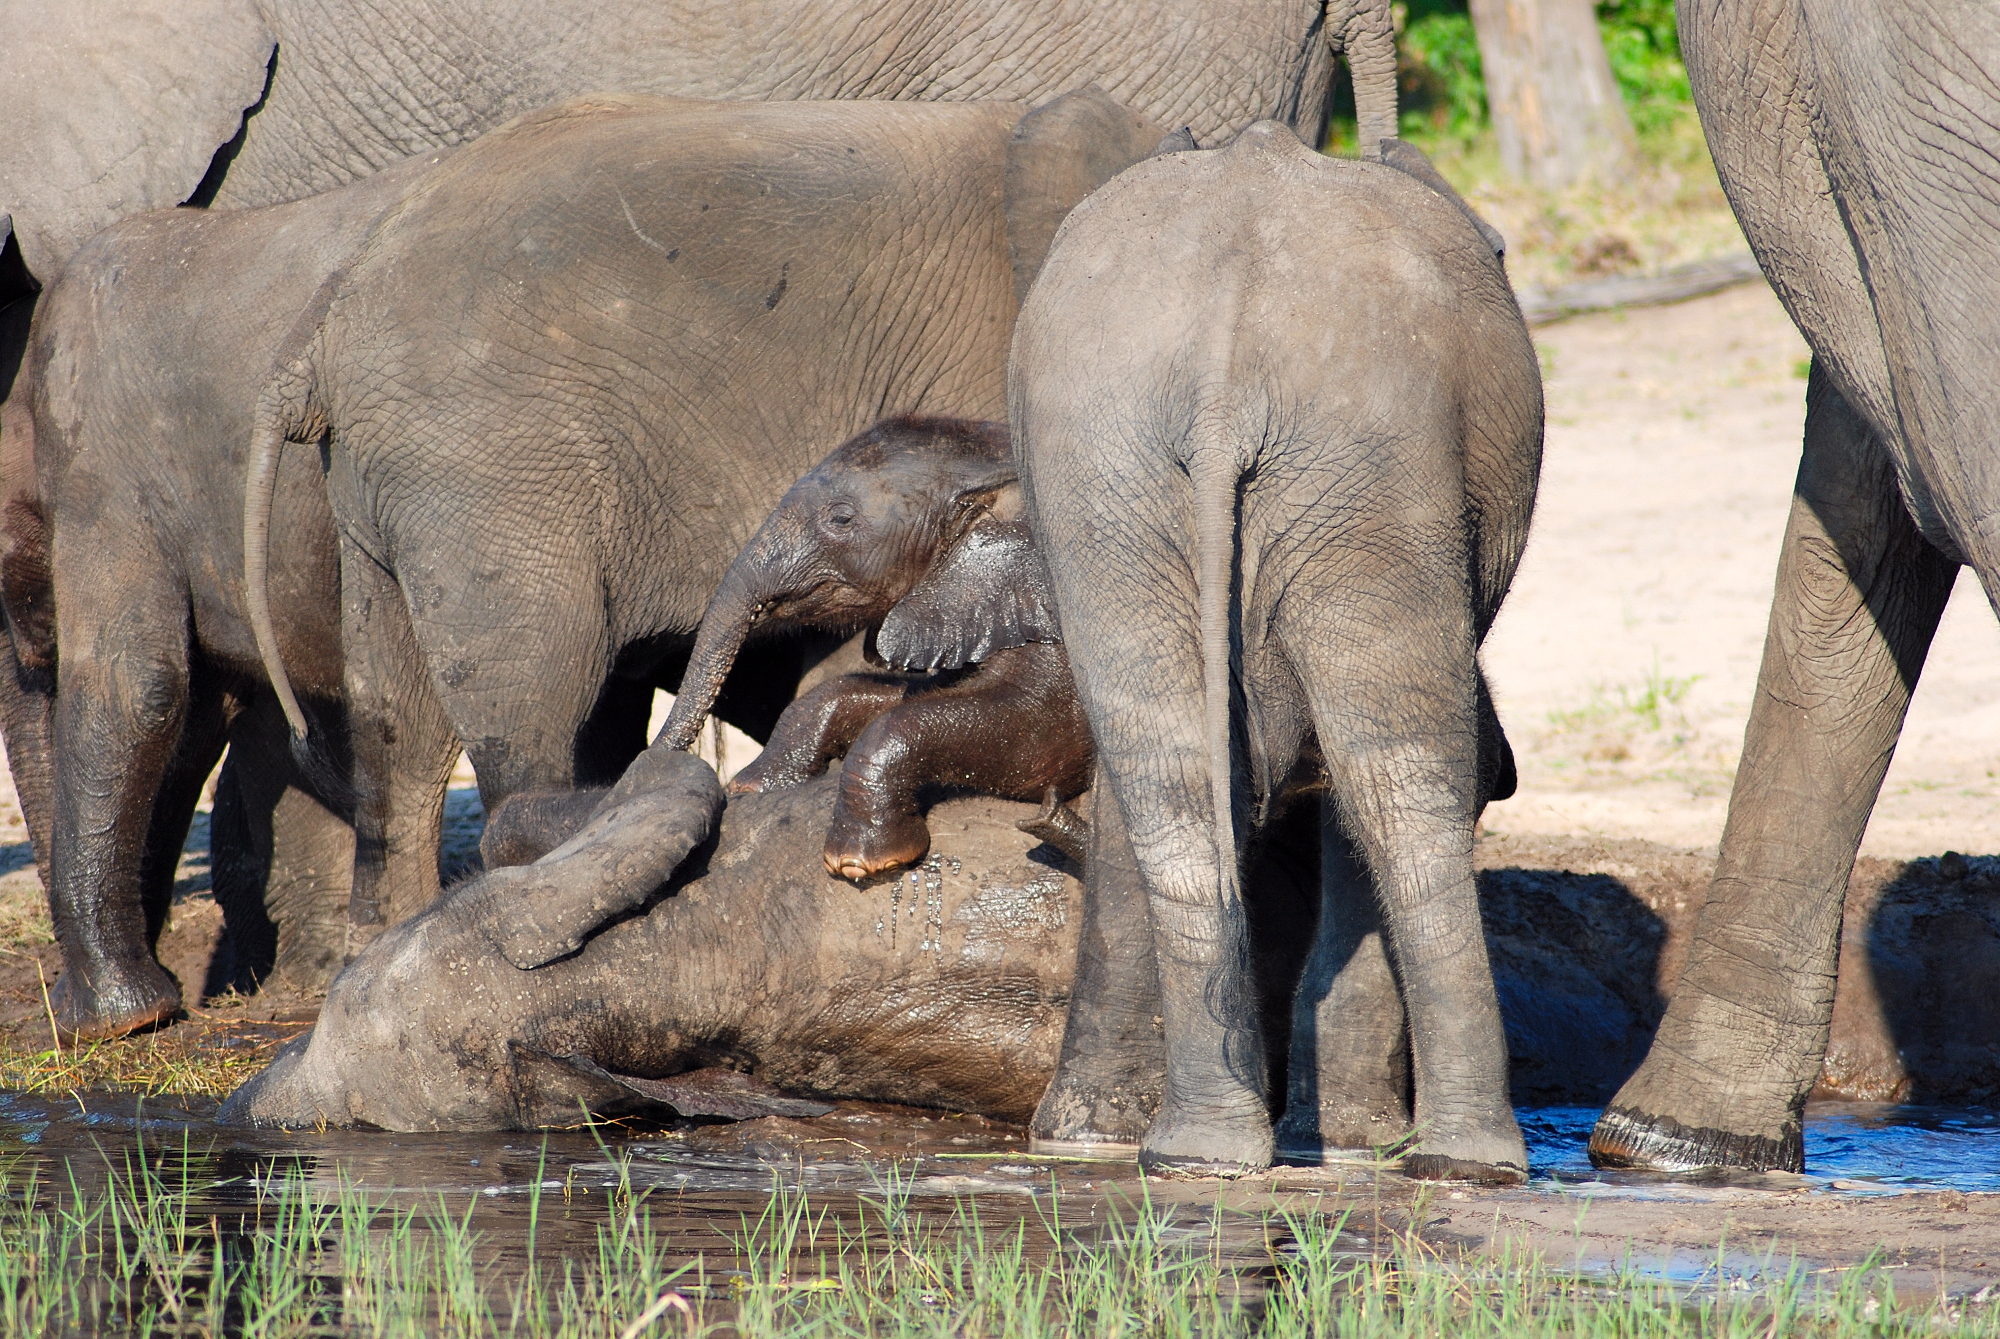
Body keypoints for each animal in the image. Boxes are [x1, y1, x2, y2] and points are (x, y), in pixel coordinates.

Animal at [1016, 120, 1544, 1183]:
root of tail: (1226, 362)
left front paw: (1092, 1136)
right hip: (1363, 467)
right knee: (1401, 783)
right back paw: (1459, 1162)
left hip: (1117, 475)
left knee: (1171, 779)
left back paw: (1203, 1154)